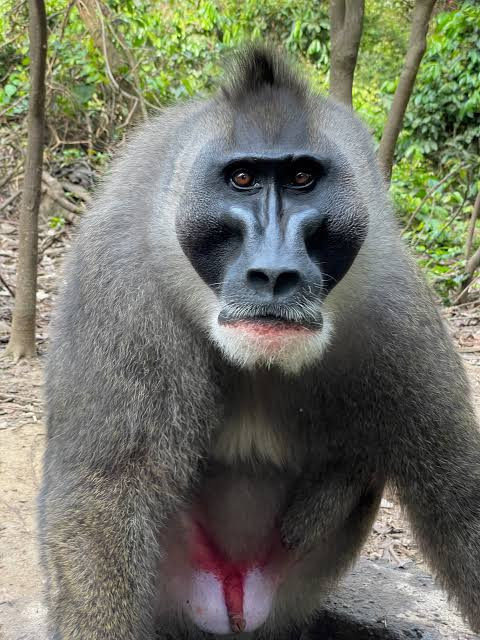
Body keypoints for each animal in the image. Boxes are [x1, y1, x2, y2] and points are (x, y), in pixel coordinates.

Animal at [39, 46, 480, 640]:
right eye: (243, 178)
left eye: (301, 177)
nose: (273, 273)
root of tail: (237, 594)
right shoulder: (119, 288)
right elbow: (102, 498)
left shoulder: (397, 312)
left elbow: (459, 504)